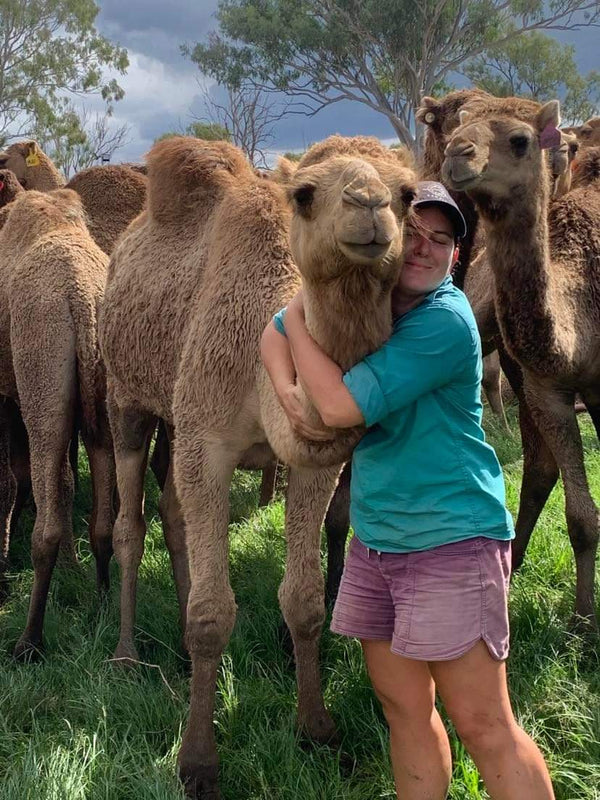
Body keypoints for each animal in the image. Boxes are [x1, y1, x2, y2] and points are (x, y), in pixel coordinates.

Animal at [99, 134, 416, 797]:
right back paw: (125, 656)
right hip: (127, 397)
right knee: (130, 526)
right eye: (305, 193)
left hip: (175, 410)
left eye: (408, 193)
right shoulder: (207, 439)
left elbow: (303, 601)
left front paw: (317, 729)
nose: (370, 205)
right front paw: (197, 762)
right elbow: (211, 616)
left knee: (172, 510)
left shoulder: (308, 464)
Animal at [442, 99, 600, 627]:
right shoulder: (545, 387)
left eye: (519, 140)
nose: (458, 153)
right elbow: (581, 517)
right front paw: (582, 621)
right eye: (456, 129)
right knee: (538, 467)